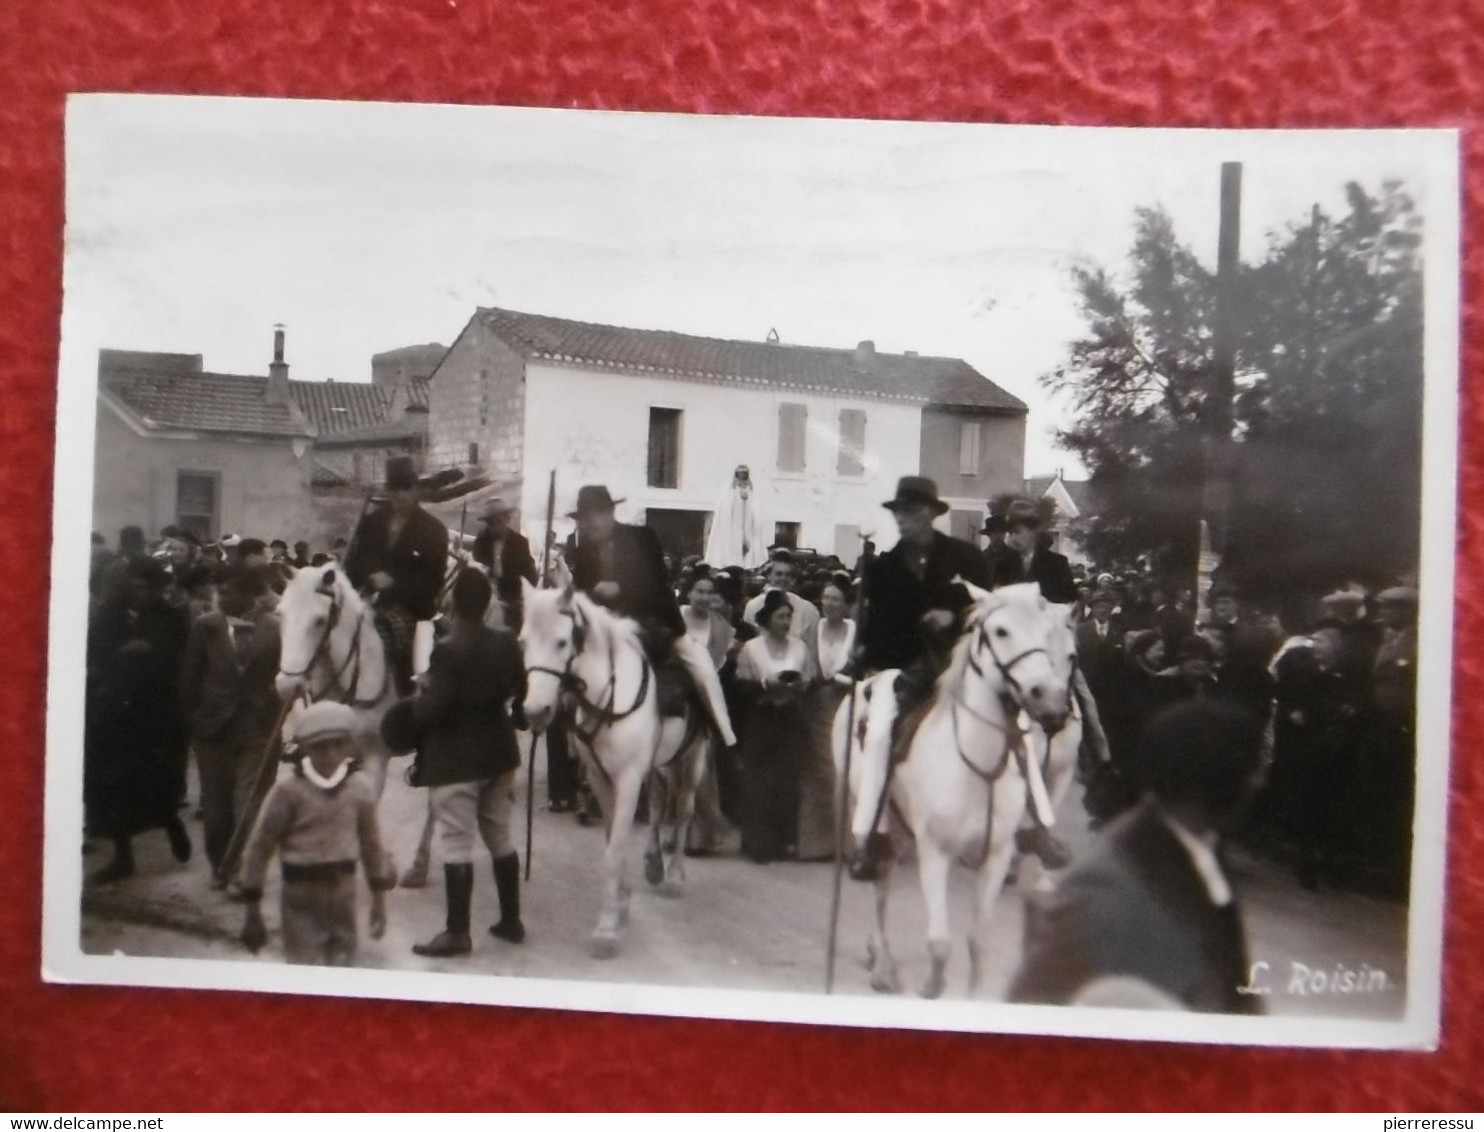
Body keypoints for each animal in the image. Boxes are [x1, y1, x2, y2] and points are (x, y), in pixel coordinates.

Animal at [519, 575, 709, 955]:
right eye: (523, 642)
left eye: (562, 641)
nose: (535, 711)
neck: (609, 699)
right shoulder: (600, 777)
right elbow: (612, 842)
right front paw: (621, 904)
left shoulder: (628, 778)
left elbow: (613, 850)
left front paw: (606, 929)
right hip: (658, 766)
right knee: (658, 804)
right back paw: (654, 865)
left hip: (692, 759)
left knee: (683, 811)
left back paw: (674, 876)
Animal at [836, 584, 1080, 1002]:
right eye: (1000, 631)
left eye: (1053, 640)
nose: (1047, 699)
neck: (976, 764)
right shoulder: (935, 851)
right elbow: (939, 942)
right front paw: (931, 986)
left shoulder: (996, 854)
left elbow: (978, 939)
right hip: (871, 816)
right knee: (880, 887)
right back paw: (882, 965)